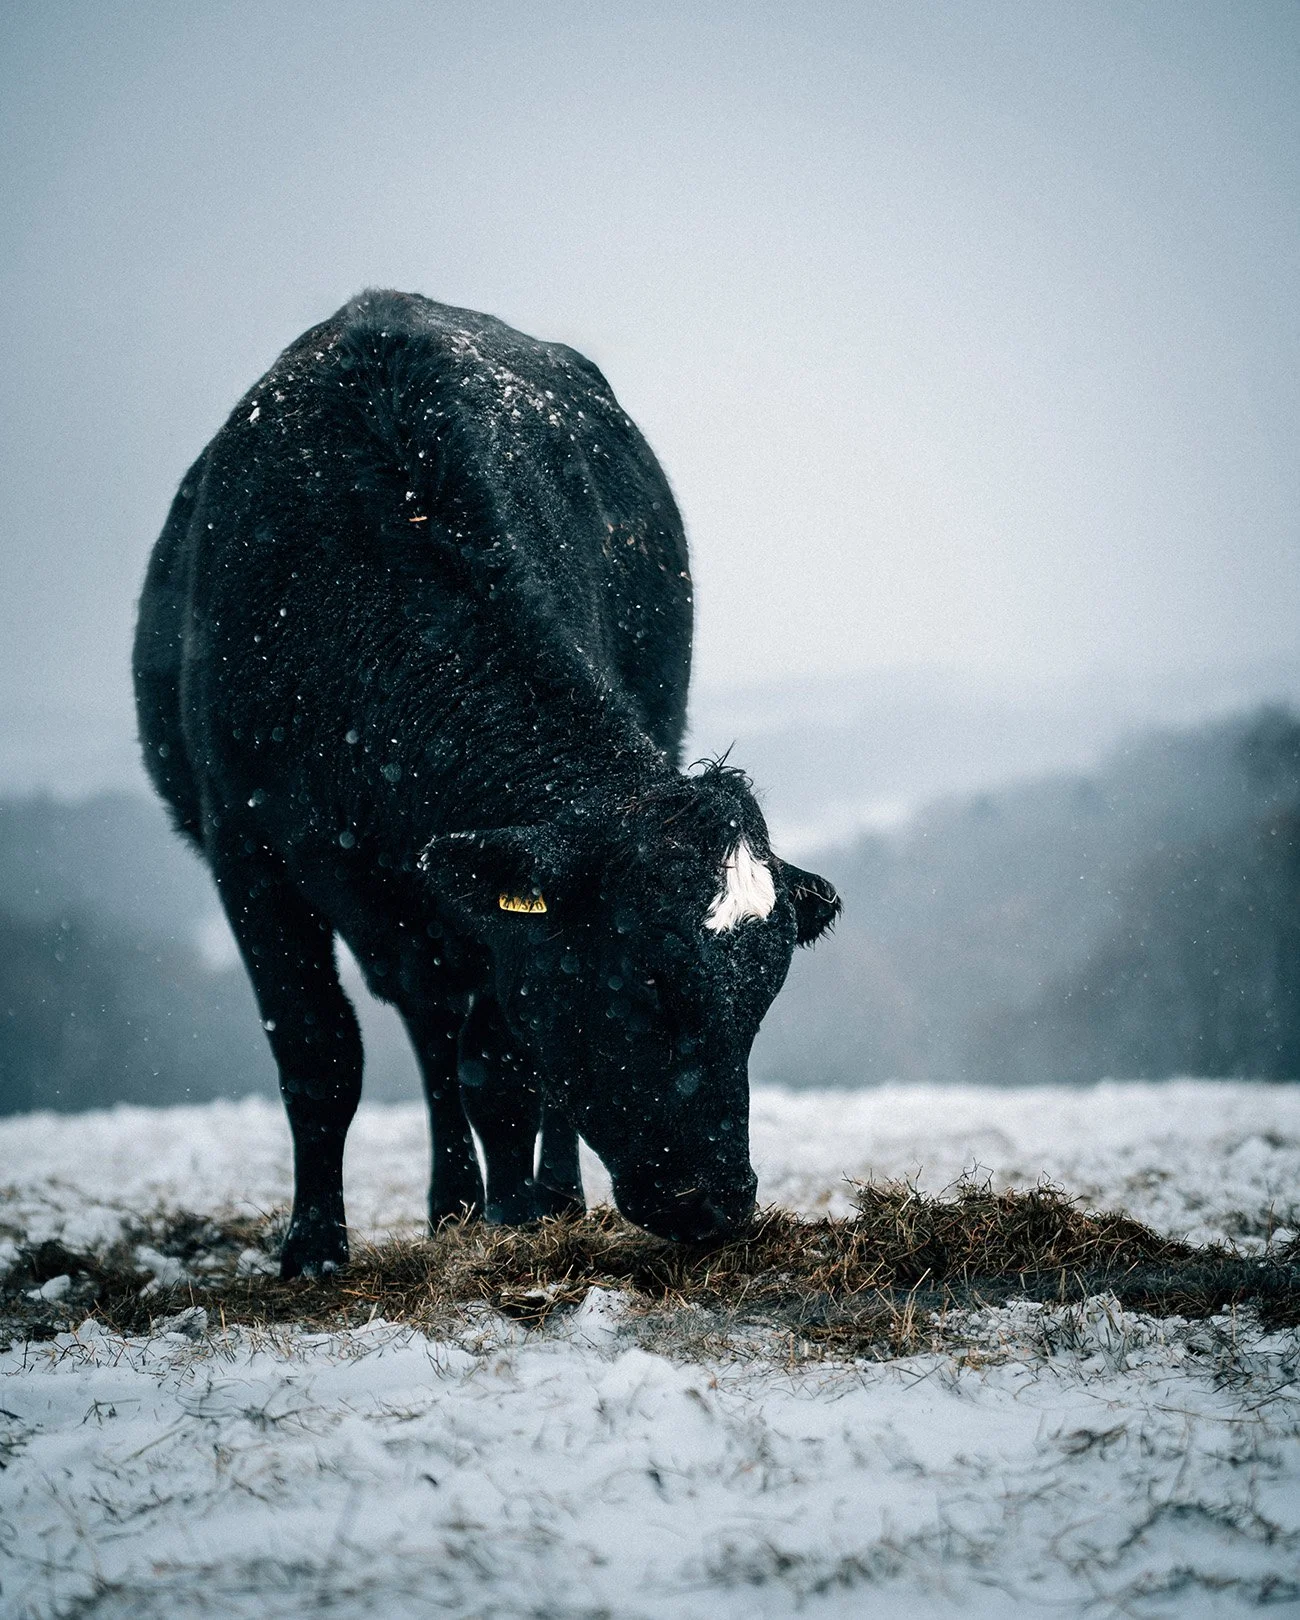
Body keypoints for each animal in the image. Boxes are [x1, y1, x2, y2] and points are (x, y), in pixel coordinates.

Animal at [133, 291, 839, 1277]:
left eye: (761, 1004)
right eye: (639, 980)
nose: (721, 1203)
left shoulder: (504, 926)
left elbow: (501, 1068)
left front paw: (519, 1223)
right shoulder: (246, 850)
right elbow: (318, 1053)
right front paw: (314, 1249)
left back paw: (535, 1199)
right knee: (428, 1029)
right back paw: (451, 1208)